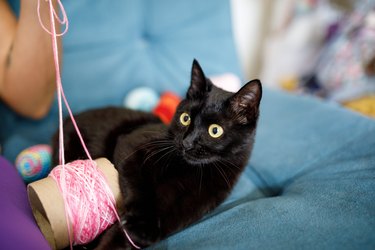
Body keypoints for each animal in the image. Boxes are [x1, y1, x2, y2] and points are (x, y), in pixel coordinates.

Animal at [53, 59, 262, 249]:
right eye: (185, 118)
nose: (187, 142)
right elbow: (141, 187)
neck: (190, 172)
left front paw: (141, 234)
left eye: (215, 131)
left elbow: (173, 219)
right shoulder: (131, 146)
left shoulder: (199, 202)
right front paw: (140, 224)